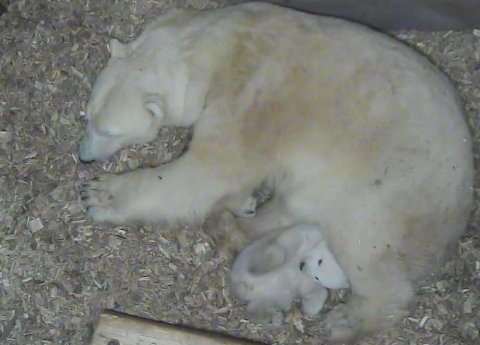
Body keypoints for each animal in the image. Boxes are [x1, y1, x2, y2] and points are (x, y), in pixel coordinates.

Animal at [78, 2, 472, 342]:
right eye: (88, 116)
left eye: (107, 130)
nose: (83, 157)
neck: (221, 45)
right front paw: (243, 202)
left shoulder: (249, 97)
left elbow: (212, 169)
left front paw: (99, 195)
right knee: (293, 207)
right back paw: (229, 227)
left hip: (389, 186)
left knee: (364, 241)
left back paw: (346, 320)